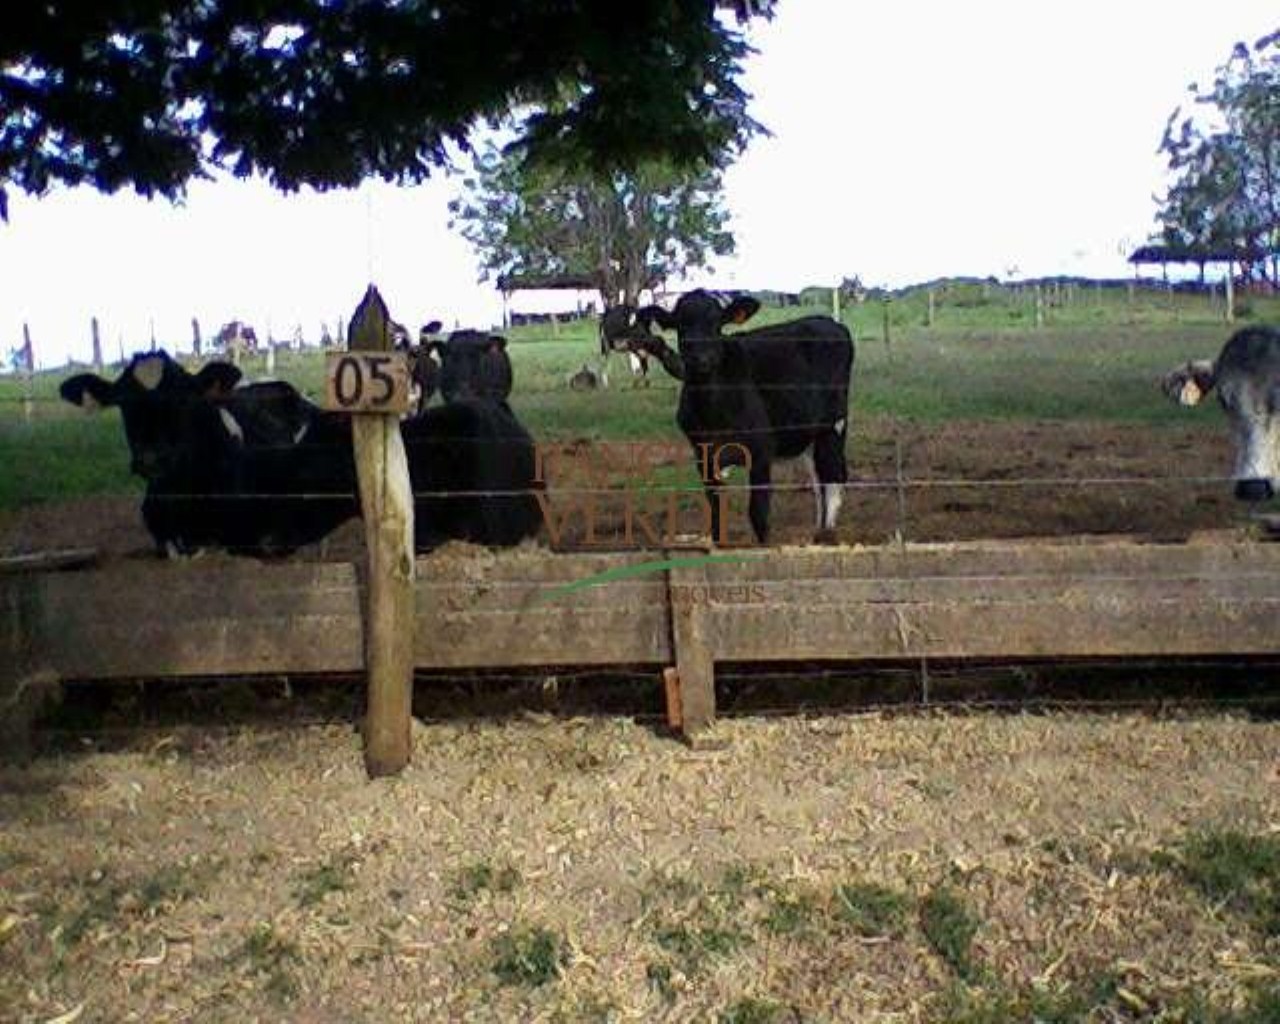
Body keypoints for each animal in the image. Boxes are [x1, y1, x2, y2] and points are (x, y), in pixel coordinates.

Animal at [609, 290, 849, 542]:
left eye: (717, 325)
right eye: (681, 324)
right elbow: (716, 514)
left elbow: (758, 514)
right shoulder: (704, 457)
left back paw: (827, 533)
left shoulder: (761, 452)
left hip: (834, 425)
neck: (714, 412)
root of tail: (829, 322)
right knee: (818, 479)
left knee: (833, 476)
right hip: (806, 434)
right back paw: (817, 529)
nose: (702, 358)